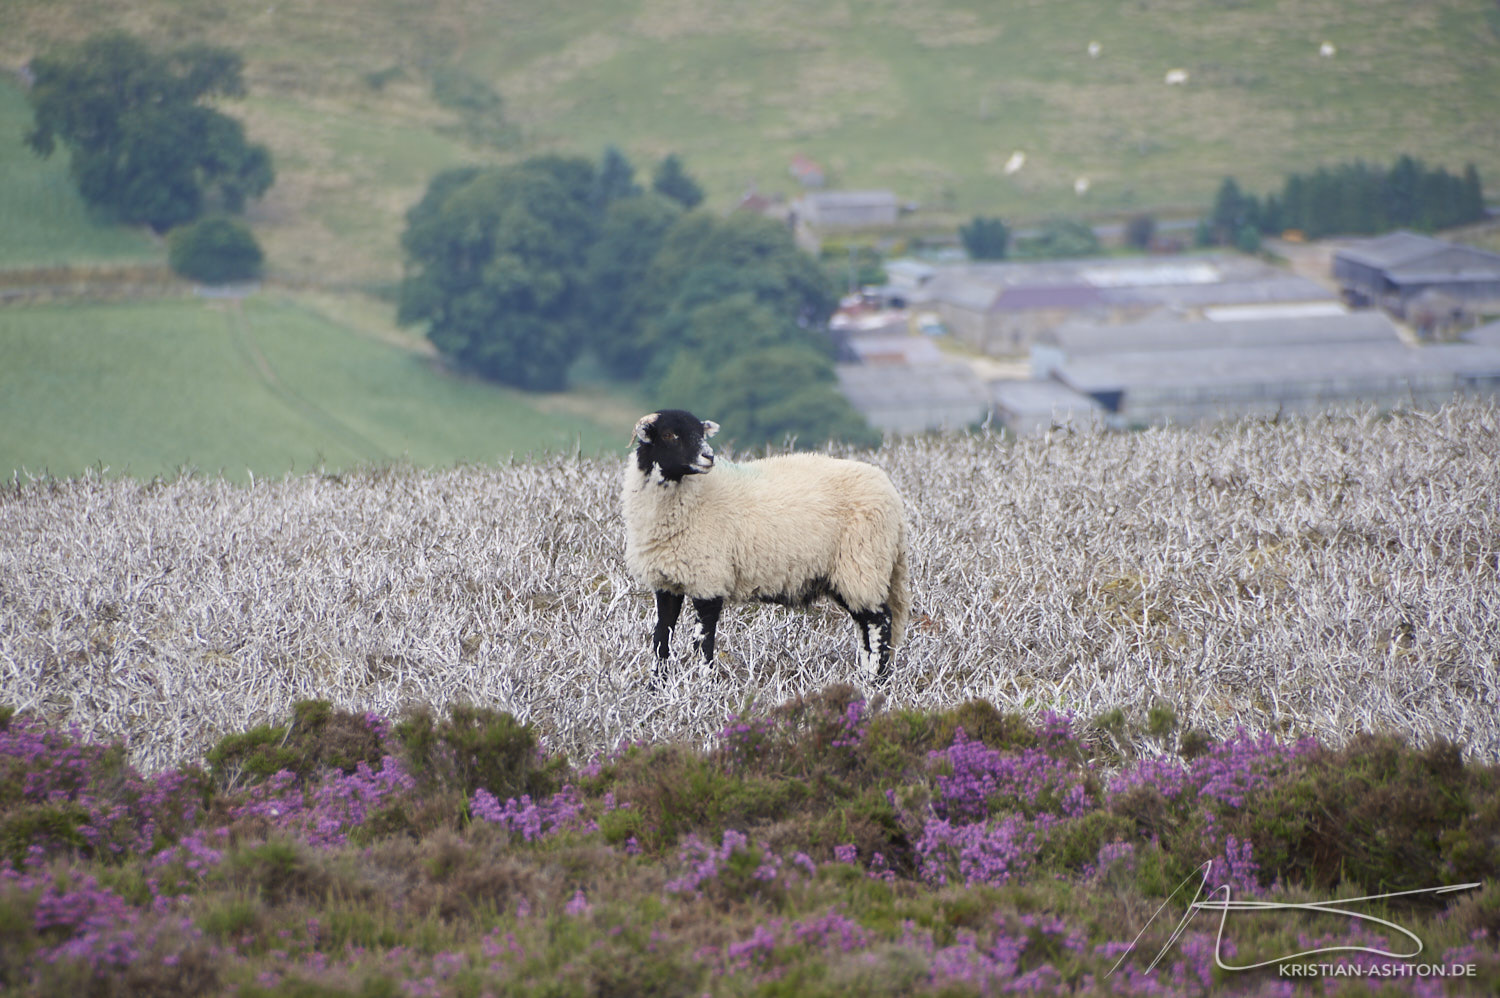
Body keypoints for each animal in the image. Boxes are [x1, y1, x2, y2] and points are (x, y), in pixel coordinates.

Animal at [621, 409, 911, 684]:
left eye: (701, 433)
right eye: (669, 434)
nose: (708, 456)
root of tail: (892, 495)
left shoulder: (709, 578)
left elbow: (703, 640)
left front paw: (703, 685)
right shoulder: (666, 582)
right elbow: (662, 637)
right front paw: (657, 686)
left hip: (863, 562)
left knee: (880, 622)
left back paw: (877, 681)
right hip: (851, 572)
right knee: (865, 625)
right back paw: (865, 677)